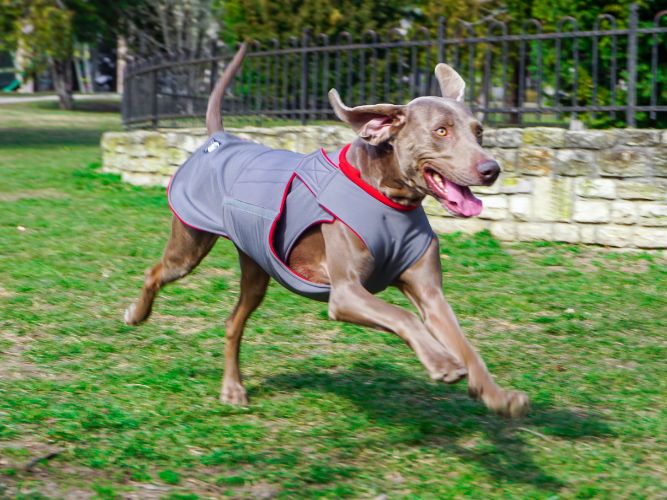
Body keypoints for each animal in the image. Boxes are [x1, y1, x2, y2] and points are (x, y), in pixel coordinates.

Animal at [125, 44, 528, 418]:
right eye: (441, 131)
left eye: (479, 132)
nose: (491, 169)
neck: (390, 198)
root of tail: (219, 137)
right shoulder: (346, 293)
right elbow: (403, 316)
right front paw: (442, 362)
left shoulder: (430, 293)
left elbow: (464, 342)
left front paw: (497, 394)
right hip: (189, 247)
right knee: (155, 272)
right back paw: (136, 314)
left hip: (256, 265)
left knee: (232, 322)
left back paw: (233, 388)